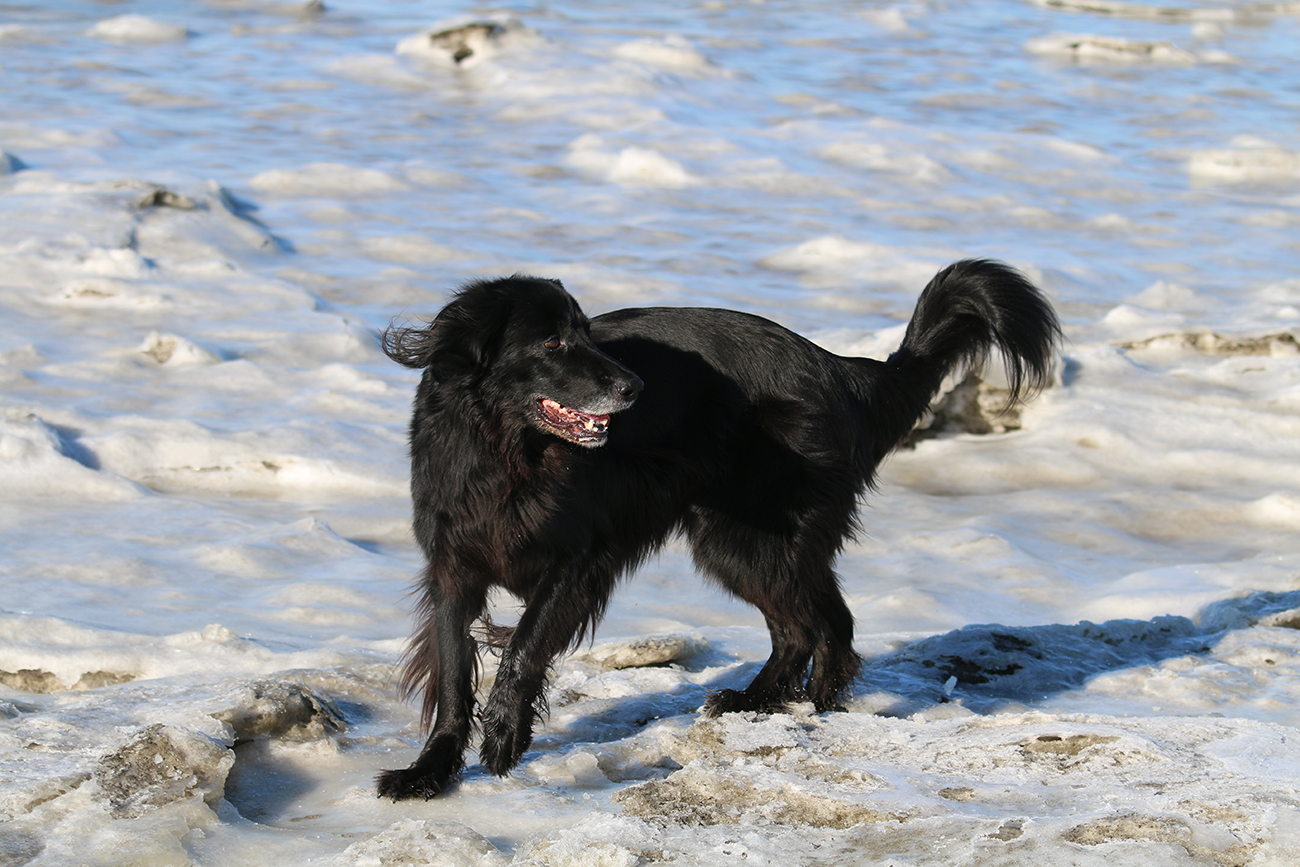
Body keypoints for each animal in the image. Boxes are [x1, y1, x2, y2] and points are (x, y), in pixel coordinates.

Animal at [376, 259, 1060, 800]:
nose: (635, 385)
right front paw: (430, 771)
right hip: (751, 542)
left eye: (586, 333)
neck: (507, 452)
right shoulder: (453, 569)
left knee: (820, 623)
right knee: (808, 623)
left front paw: (504, 735)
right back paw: (768, 700)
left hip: (745, 537)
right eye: (550, 342)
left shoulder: (579, 559)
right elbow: (452, 672)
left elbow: (522, 648)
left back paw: (803, 702)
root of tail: (841, 370)